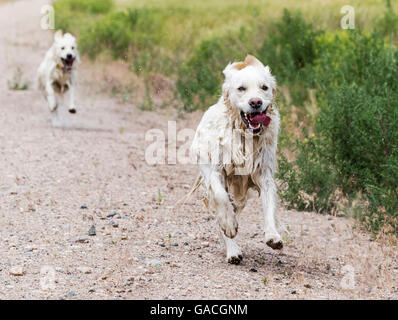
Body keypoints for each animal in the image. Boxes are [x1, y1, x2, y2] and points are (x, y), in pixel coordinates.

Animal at [190, 55, 282, 264]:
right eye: (241, 88)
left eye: (264, 87)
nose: (255, 102)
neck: (245, 135)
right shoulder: (216, 171)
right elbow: (221, 197)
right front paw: (229, 224)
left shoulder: (265, 175)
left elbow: (269, 206)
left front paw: (273, 236)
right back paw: (232, 250)